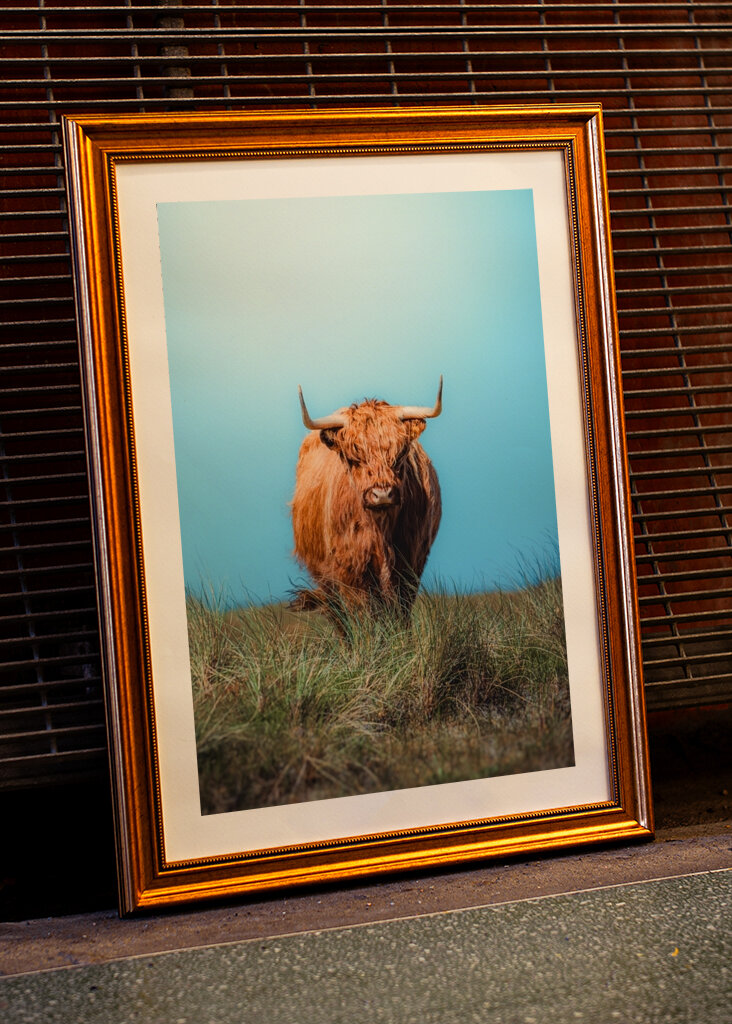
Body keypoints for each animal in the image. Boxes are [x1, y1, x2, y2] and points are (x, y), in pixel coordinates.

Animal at [291, 378, 442, 620]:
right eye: (354, 458)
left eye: (400, 454)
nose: (382, 494)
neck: (380, 528)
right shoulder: (349, 567)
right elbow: (361, 614)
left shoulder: (411, 561)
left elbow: (400, 610)